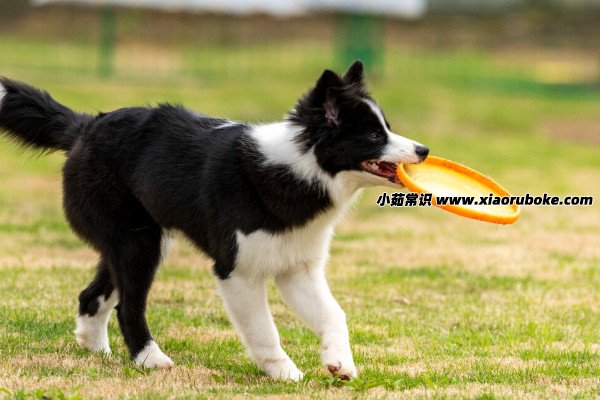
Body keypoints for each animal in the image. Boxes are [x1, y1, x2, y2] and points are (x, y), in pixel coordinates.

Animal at [0, 61, 428, 380]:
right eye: (373, 135)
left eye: (386, 127)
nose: (423, 150)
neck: (298, 168)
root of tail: (86, 127)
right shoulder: (237, 270)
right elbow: (263, 328)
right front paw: (284, 373)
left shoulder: (297, 268)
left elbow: (333, 315)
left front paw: (340, 363)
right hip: (137, 243)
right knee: (127, 305)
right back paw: (149, 360)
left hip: (140, 238)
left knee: (92, 296)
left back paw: (97, 351)